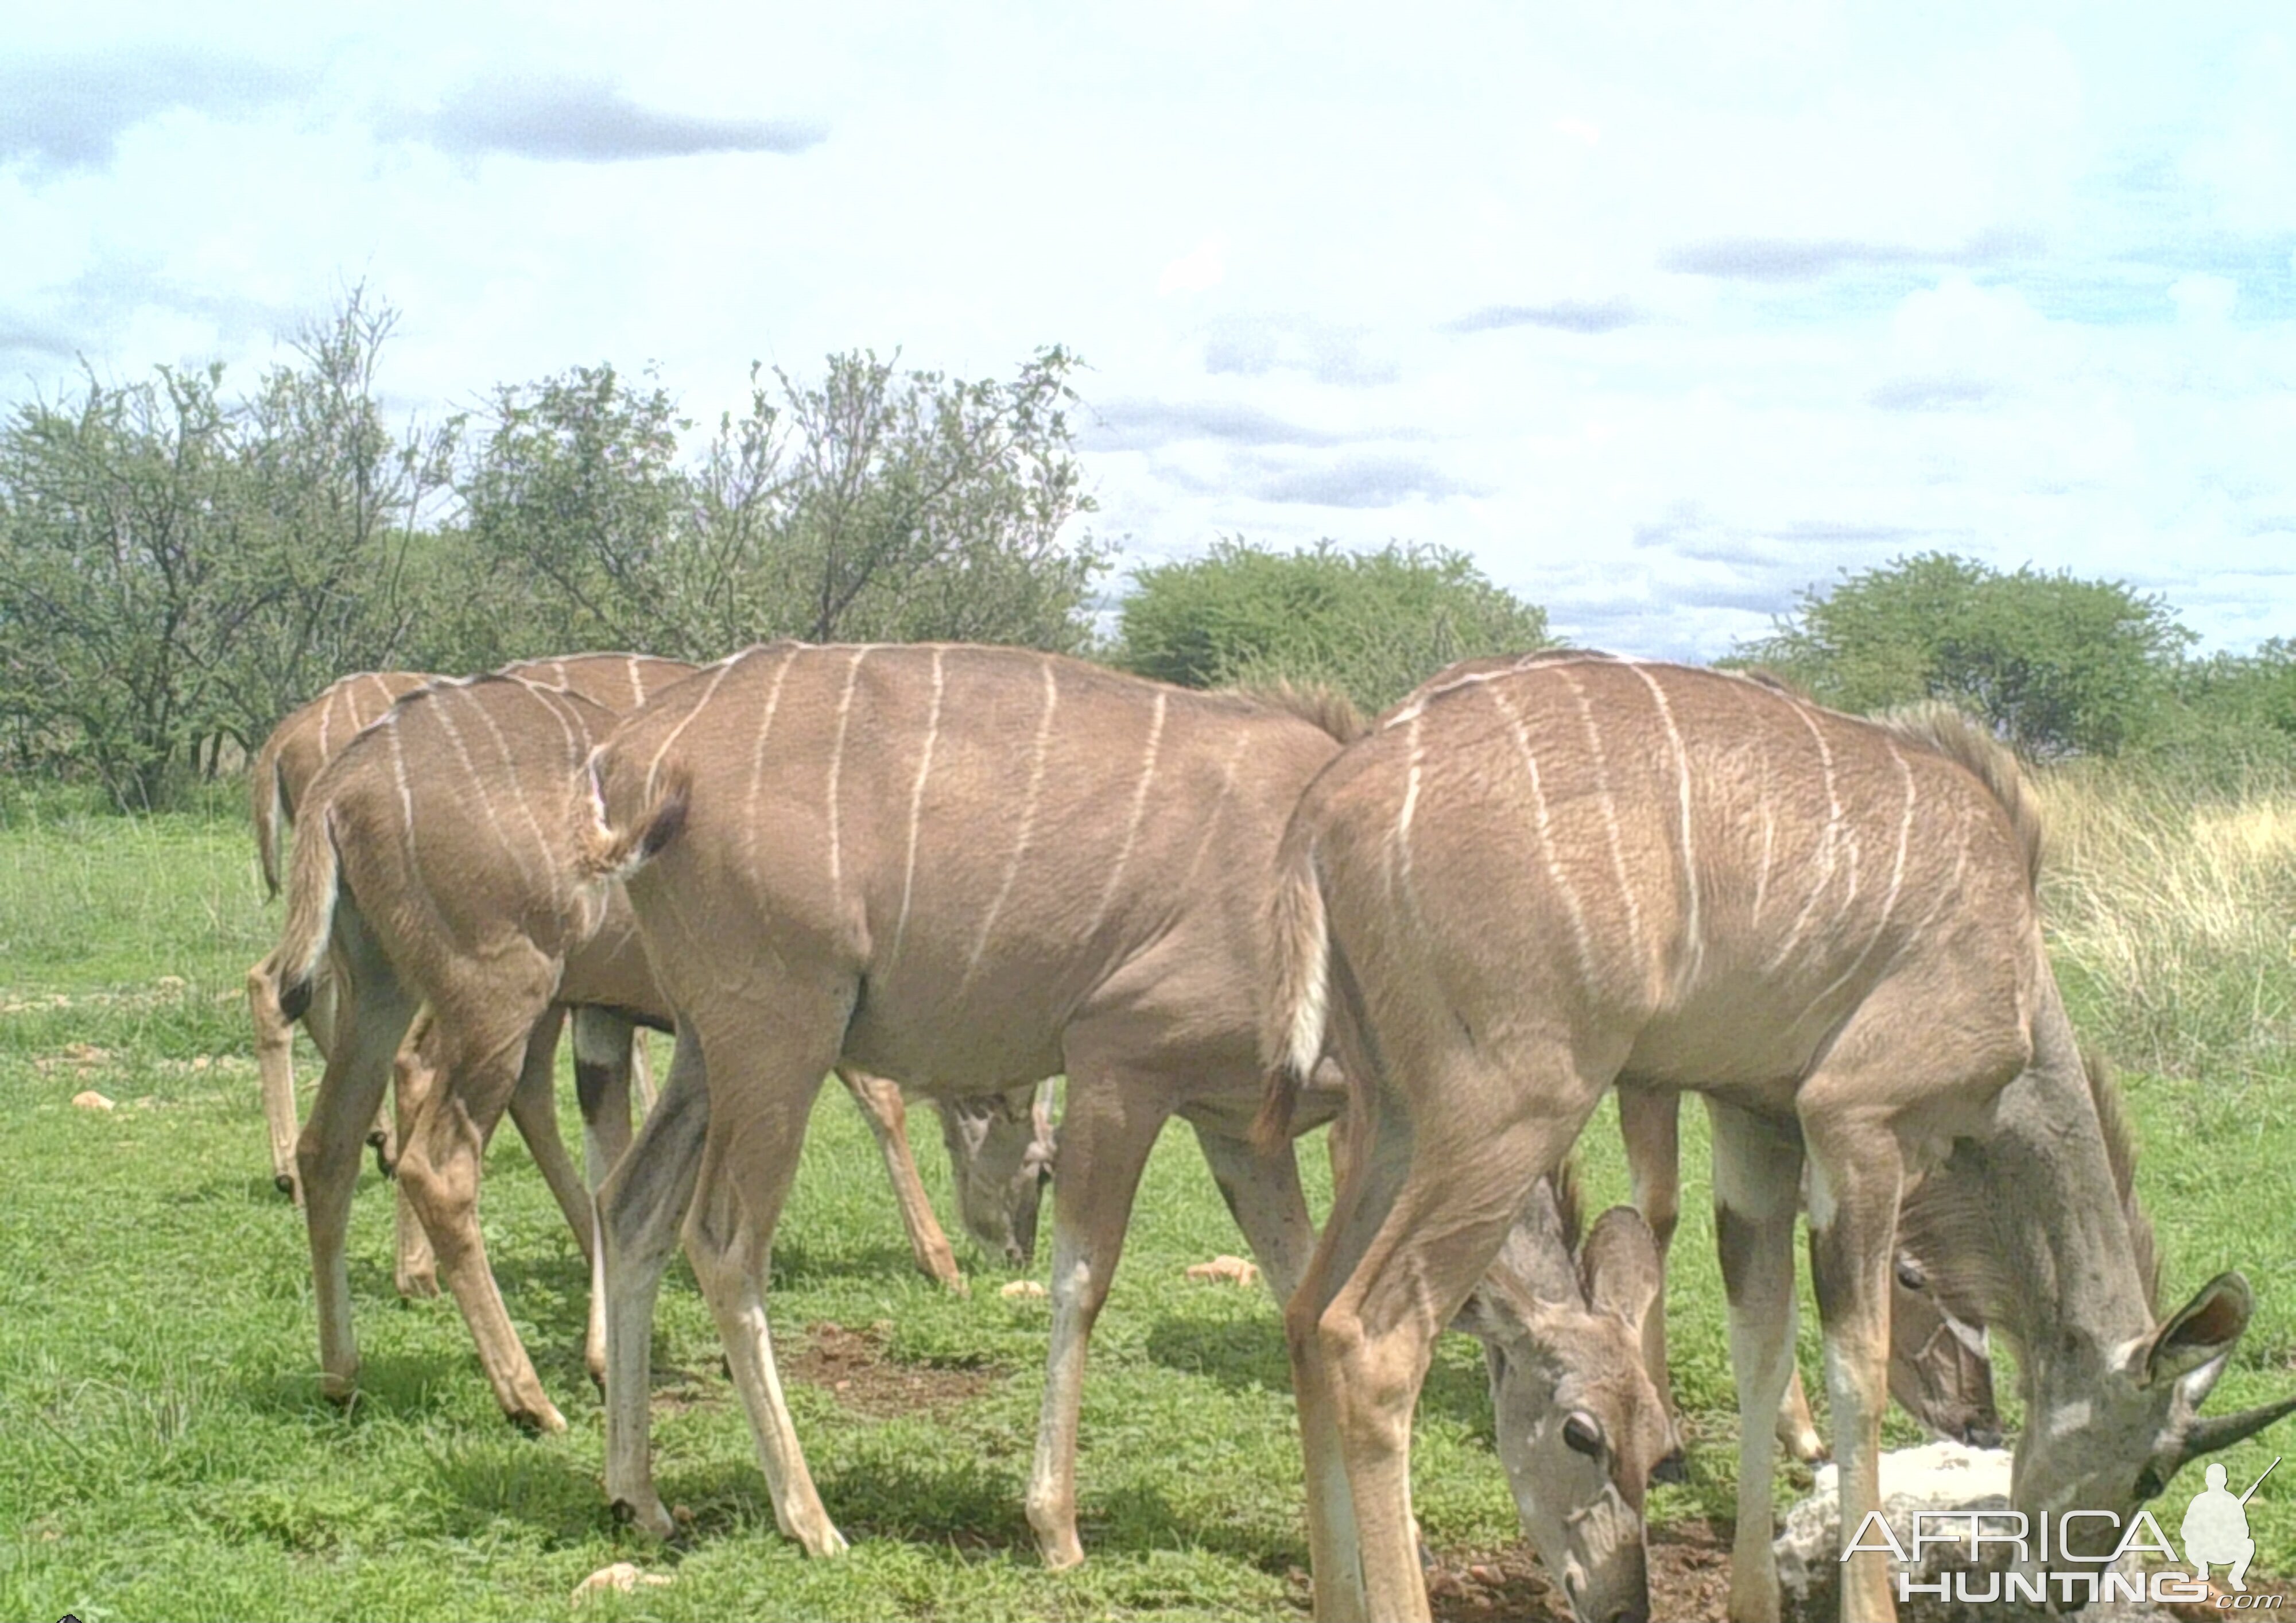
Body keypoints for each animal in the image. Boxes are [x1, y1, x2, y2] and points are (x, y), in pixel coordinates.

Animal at [263, 675, 1052, 1432]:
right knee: (438, 1164)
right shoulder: (792, 1013)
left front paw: (609, 1358)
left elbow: (610, 1165)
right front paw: (939, 1264)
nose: (1018, 1249)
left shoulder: (610, 1020)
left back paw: (342, 1375)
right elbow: (875, 1101)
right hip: (498, 995)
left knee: (330, 1146)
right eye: (1045, 1166)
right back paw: (526, 1399)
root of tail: (343, 781)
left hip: (385, 987)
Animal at [574, 642, 1671, 1589]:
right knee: (722, 1241)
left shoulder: (1237, 1128)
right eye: (1581, 1432)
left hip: (711, 1044)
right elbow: (1084, 1280)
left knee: (631, 1207)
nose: (1618, 1596)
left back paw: (639, 1495)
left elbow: (1305, 1302)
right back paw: (810, 1519)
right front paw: (1054, 1524)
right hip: (782, 1032)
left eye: (1663, 1448)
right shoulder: (1120, 1059)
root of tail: (636, 758)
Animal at [1267, 652, 2287, 1623]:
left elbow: (1760, 1335)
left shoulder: (1757, 1123)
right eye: (2153, 1466)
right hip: (1509, 1113)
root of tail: (1324, 808)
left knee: (1309, 1311)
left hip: (1396, 1122)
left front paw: (1752, 1595)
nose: (2068, 1584)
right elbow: (1856, 1363)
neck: (2019, 976)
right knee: (1371, 1334)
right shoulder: (1856, 1119)